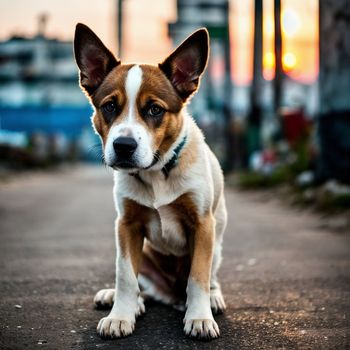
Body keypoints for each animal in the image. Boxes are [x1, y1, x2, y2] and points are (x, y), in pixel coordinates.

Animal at [73, 23, 227, 340]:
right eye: (109, 106)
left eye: (155, 109)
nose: (123, 146)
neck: (158, 172)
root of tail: (169, 293)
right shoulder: (127, 225)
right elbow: (125, 276)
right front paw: (120, 316)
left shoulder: (202, 224)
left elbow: (198, 277)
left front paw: (200, 318)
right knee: (140, 287)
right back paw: (124, 300)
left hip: (217, 244)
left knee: (210, 277)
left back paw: (213, 299)